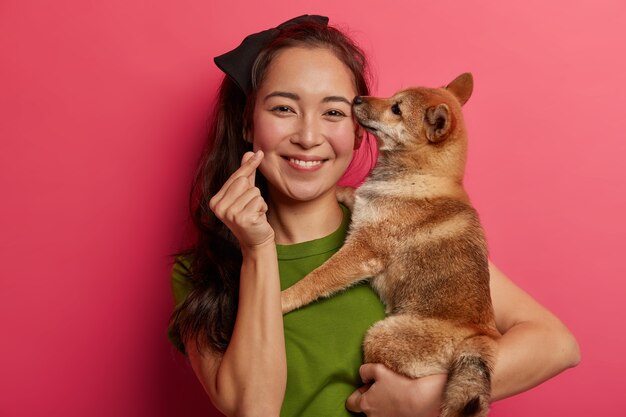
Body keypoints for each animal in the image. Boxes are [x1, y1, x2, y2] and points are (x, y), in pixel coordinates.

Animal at [280, 75, 500, 416]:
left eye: (396, 109)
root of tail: (480, 337)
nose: (356, 99)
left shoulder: (362, 252)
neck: (420, 176)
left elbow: (315, 280)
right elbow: (354, 194)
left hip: (378, 336)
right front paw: (344, 192)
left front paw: (284, 299)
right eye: (392, 99)